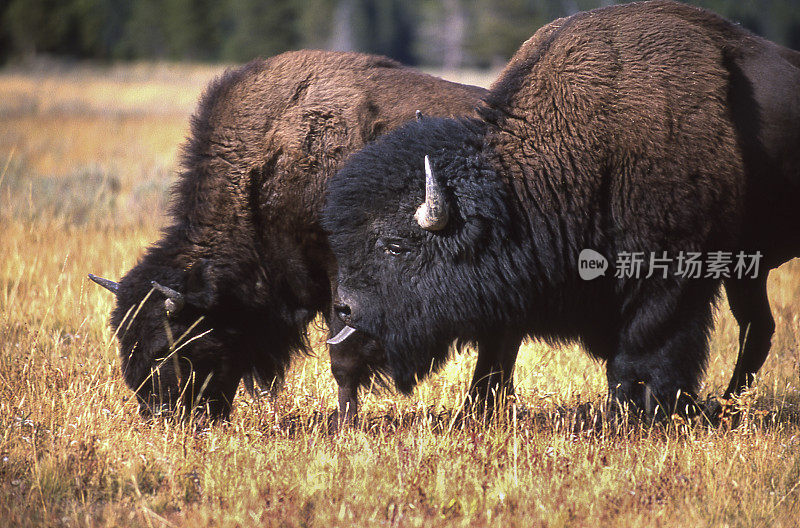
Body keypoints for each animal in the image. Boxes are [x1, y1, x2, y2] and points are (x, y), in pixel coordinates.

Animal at [90, 48, 484, 420]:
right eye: (125, 342)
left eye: (166, 347)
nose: (159, 413)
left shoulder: (341, 277)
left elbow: (342, 355)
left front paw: (344, 424)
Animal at [324, 1, 800, 420]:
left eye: (395, 245)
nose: (344, 308)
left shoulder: (672, 277)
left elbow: (648, 347)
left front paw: (641, 413)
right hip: (748, 270)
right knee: (758, 328)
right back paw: (726, 405)